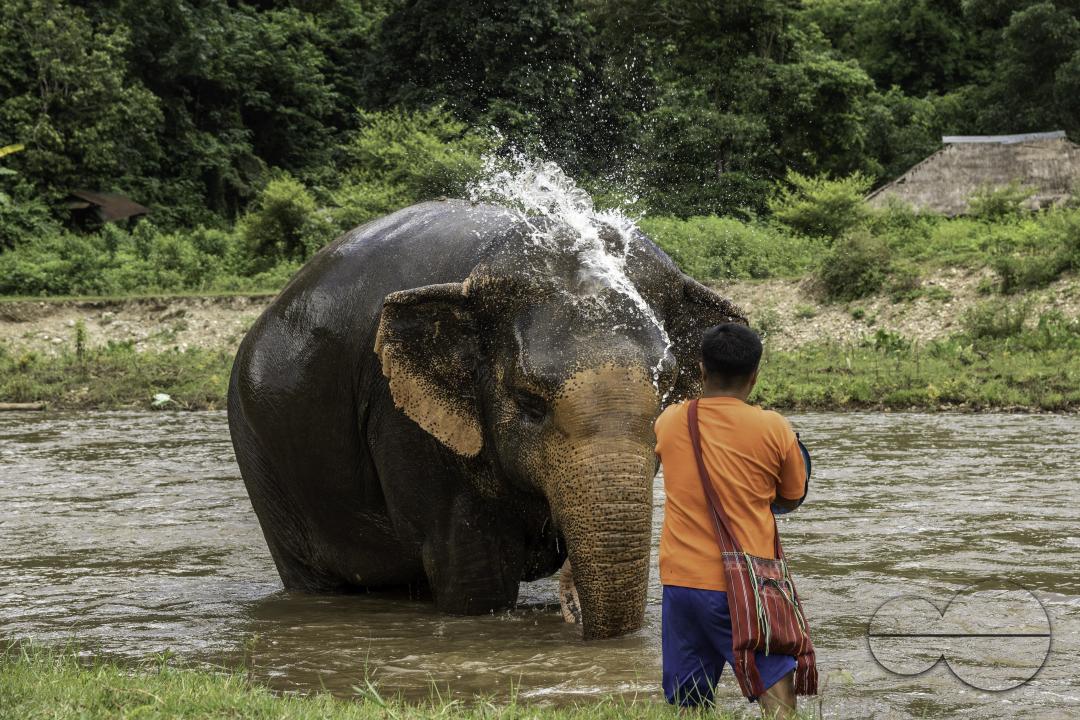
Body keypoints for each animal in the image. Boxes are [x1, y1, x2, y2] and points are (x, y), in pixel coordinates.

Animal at [227, 199, 745, 640]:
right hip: (263, 455)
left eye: (666, 389)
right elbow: (476, 573)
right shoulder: (404, 423)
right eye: (529, 401)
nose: (573, 608)